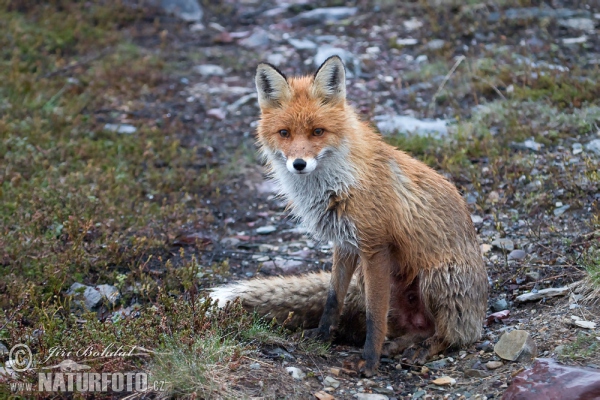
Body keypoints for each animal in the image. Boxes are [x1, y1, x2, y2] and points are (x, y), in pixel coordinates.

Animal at [211, 56, 488, 378]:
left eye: (318, 132)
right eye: (285, 133)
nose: (299, 164)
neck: (336, 184)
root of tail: (479, 316)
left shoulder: (374, 246)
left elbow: (374, 316)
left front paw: (369, 361)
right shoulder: (344, 244)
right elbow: (333, 298)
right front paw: (322, 336)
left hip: (434, 280)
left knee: (450, 335)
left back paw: (427, 347)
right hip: (385, 284)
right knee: (416, 329)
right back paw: (400, 345)